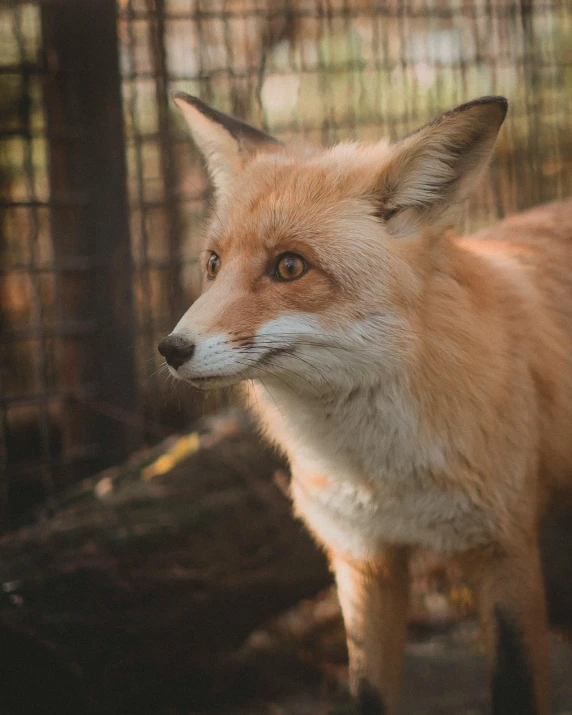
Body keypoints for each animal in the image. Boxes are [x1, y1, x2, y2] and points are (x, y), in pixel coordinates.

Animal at [158, 95, 572, 715]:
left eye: (289, 266)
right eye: (212, 264)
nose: (171, 349)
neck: (382, 475)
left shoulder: (506, 550)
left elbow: (517, 686)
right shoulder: (362, 559)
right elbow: (370, 692)